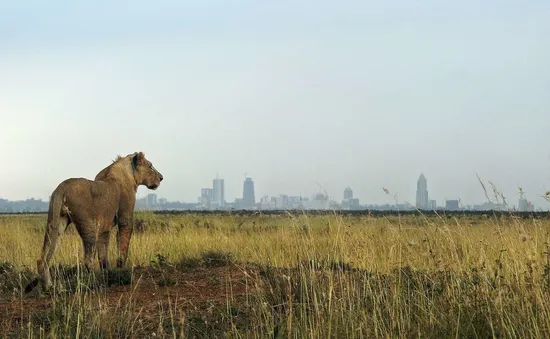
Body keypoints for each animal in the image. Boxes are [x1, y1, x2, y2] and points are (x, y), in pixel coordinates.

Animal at [27, 151, 163, 292]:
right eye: (150, 166)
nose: (161, 177)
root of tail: (61, 187)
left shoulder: (104, 229)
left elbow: (103, 256)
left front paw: (108, 275)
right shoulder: (125, 219)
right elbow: (123, 248)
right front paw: (121, 273)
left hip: (56, 222)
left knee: (43, 258)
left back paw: (48, 287)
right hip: (89, 226)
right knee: (87, 260)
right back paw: (96, 283)